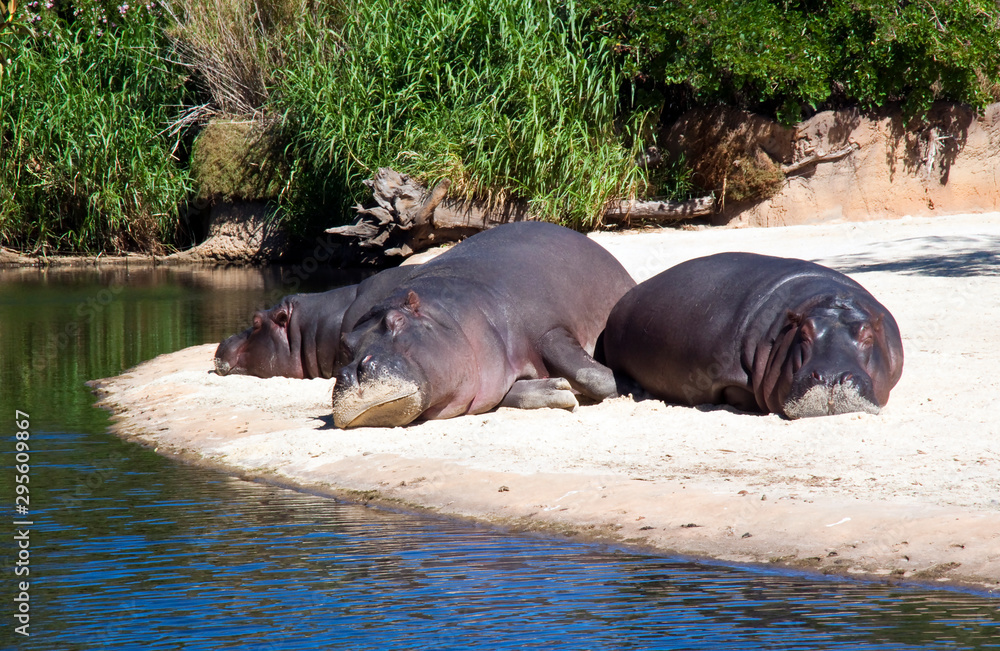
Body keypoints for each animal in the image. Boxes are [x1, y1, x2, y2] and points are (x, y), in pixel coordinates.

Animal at [331, 221, 636, 428]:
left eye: (397, 321)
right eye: (345, 344)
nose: (350, 373)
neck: (449, 316)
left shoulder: (549, 331)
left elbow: (589, 374)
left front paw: (632, 388)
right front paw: (557, 390)